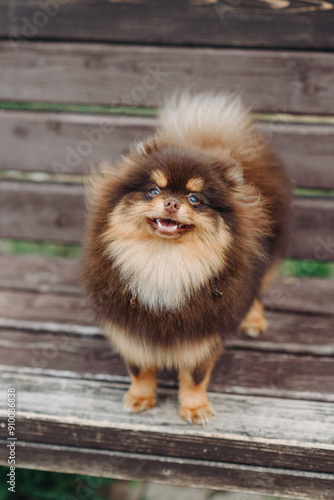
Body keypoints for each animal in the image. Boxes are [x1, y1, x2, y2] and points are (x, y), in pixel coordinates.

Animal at [83, 92, 290, 424]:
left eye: (195, 199)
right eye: (153, 191)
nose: (171, 202)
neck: (165, 261)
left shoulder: (203, 331)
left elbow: (194, 375)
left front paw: (194, 408)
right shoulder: (129, 323)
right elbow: (139, 368)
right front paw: (140, 397)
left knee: (256, 288)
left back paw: (253, 319)